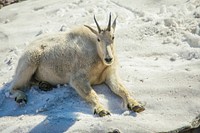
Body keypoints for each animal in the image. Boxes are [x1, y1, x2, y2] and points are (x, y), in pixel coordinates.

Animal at [8, 13, 145, 116]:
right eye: (99, 39)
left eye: (113, 37)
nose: (109, 58)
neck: (98, 59)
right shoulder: (78, 79)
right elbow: (91, 94)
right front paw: (101, 110)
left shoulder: (110, 75)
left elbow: (122, 89)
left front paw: (136, 105)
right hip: (29, 63)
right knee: (14, 87)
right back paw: (21, 97)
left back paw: (44, 85)